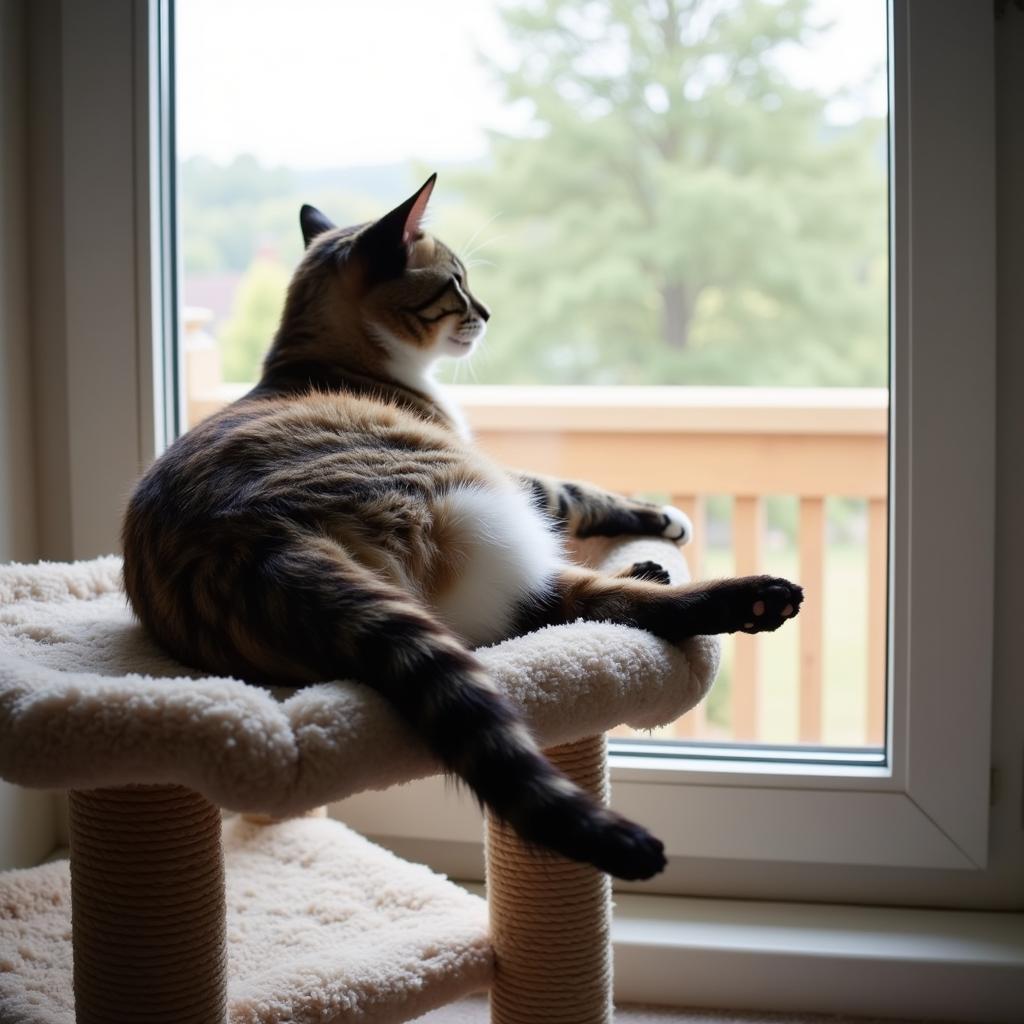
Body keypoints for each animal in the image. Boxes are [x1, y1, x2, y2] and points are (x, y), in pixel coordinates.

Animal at [123, 176, 802, 880]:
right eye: (455, 282)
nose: (489, 312)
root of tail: (255, 541)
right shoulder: (513, 475)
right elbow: (578, 492)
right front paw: (665, 518)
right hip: (477, 496)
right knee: (569, 596)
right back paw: (749, 593)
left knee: (573, 605)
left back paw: (692, 584)